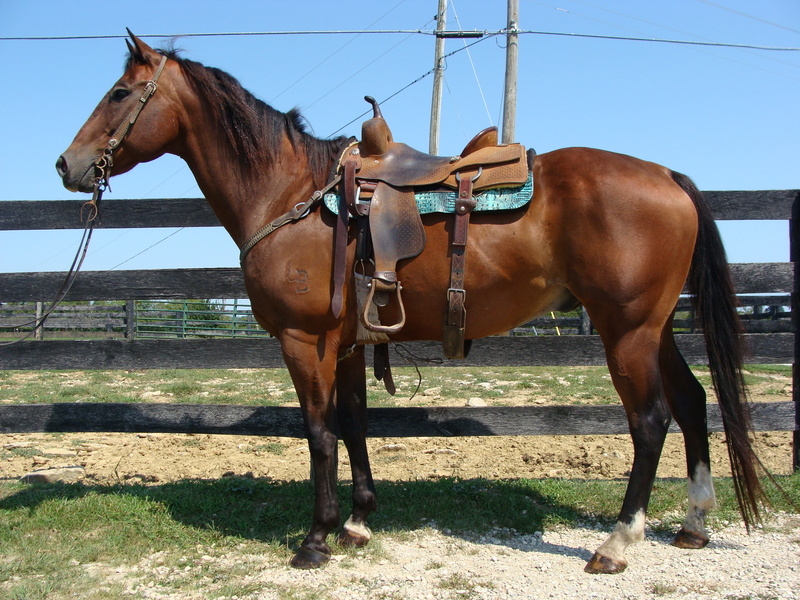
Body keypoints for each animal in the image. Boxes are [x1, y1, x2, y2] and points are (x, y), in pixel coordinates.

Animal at [56, 32, 766, 573]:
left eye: (120, 93)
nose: (67, 164)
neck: (290, 193)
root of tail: (665, 174)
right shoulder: (346, 344)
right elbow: (353, 424)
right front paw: (358, 522)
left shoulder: (303, 341)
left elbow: (318, 433)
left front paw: (316, 538)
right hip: (653, 327)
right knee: (693, 402)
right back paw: (694, 523)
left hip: (627, 331)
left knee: (650, 421)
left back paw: (616, 544)